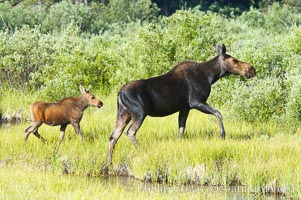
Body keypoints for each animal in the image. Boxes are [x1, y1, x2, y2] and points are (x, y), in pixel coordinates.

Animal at [106, 44, 254, 165]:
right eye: (234, 60)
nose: (251, 69)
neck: (211, 77)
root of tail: (119, 94)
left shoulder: (185, 107)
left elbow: (181, 129)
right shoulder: (196, 102)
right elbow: (218, 113)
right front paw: (222, 135)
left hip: (123, 114)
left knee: (113, 136)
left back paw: (108, 163)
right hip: (139, 113)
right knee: (130, 132)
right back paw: (142, 150)